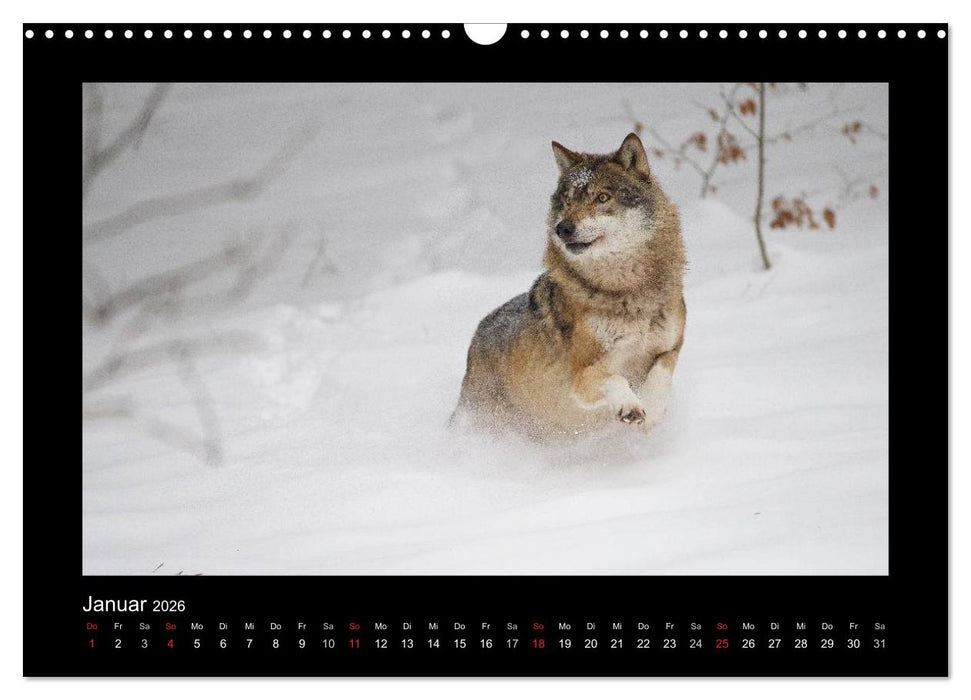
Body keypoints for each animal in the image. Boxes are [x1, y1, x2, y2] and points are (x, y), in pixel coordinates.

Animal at [452, 133, 686, 439]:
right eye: (567, 200)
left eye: (602, 197)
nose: (563, 228)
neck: (627, 291)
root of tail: (476, 335)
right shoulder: (581, 376)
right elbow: (615, 378)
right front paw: (630, 405)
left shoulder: (671, 348)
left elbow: (661, 373)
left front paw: (654, 410)